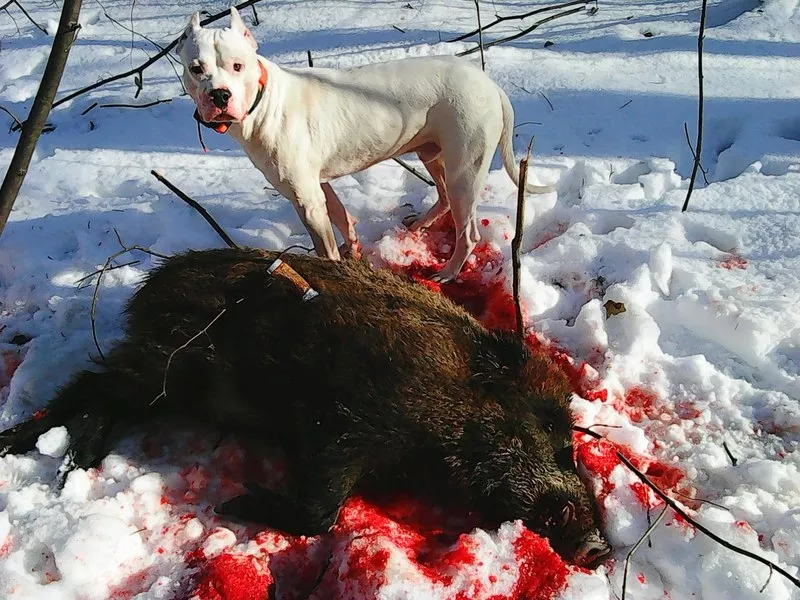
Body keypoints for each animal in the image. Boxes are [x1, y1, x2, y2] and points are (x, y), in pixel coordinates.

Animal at [178, 8, 552, 282]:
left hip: (465, 168)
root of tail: (490, 84)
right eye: (196, 69)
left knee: (468, 232)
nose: (219, 95)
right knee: (444, 197)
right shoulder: (316, 186)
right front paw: (353, 248)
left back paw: (447, 274)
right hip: (431, 152)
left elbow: (324, 245)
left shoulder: (306, 200)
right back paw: (421, 225)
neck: (263, 99)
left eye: (237, 66)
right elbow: (341, 216)